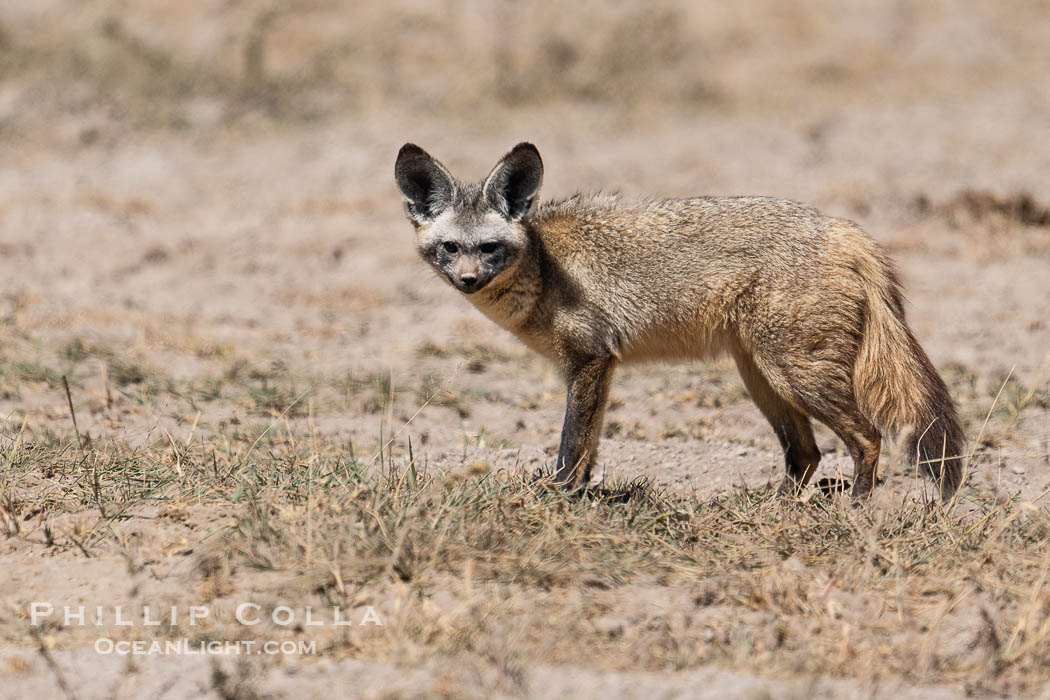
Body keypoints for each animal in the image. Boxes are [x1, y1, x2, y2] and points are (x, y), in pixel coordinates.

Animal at [394, 142, 966, 499]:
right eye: (451, 248)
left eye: (489, 248)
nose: (469, 281)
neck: (544, 267)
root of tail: (842, 228)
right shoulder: (601, 367)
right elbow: (590, 446)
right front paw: (577, 494)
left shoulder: (590, 360)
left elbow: (573, 443)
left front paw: (557, 495)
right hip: (764, 380)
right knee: (805, 456)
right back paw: (773, 509)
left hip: (796, 377)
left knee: (866, 438)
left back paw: (856, 509)